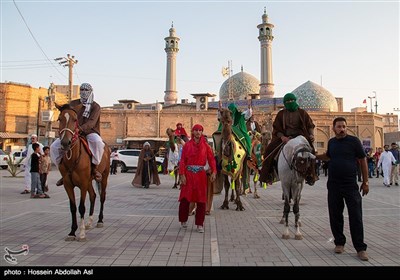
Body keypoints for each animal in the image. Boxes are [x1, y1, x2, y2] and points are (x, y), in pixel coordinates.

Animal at [54, 103, 110, 241]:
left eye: (75, 120)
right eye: (59, 119)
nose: (65, 142)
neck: (73, 157)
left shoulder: (83, 183)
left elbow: (81, 207)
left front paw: (82, 233)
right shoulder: (68, 184)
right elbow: (73, 207)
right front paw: (72, 232)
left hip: (104, 177)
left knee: (102, 196)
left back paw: (99, 220)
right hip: (89, 180)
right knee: (93, 195)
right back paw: (89, 222)